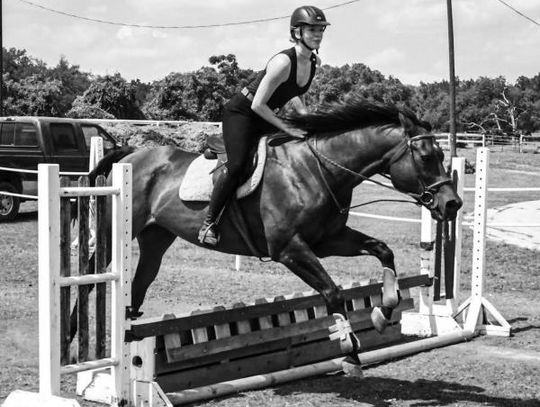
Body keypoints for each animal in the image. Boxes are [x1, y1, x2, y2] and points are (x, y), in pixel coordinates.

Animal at [70, 98, 460, 372]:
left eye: (442, 155)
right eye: (425, 157)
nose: (452, 204)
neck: (317, 170)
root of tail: (133, 153)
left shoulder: (329, 241)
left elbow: (383, 251)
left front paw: (384, 311)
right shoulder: (289, 250)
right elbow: (332, 293)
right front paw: (349, 352)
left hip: (156, 236)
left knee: (140, 283)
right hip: (117, 230)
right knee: (91, 274)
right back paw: (75, 340)